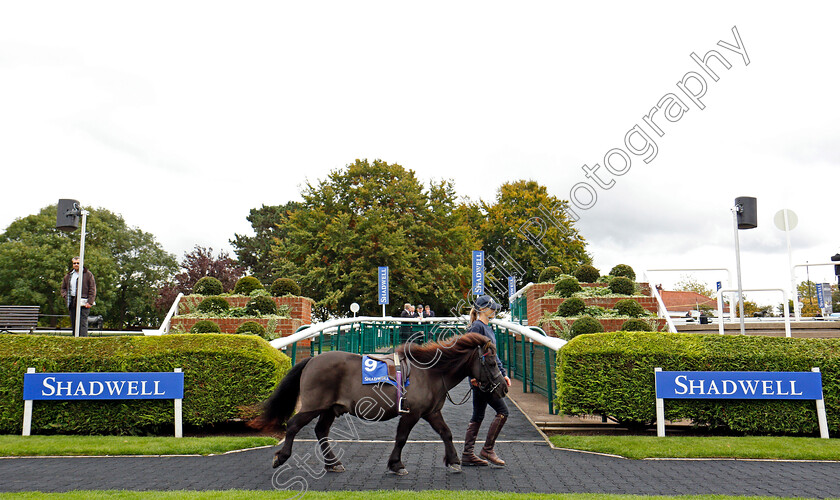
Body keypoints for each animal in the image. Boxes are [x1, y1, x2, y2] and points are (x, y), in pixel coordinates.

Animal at [251, 334, 506, 474]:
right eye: (492, 363)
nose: (503, 387)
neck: (429, 372)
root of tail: (312, 360)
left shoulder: (432, 412)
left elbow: (447, 433)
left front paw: (453, 461)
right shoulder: (412, 413)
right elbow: (401, 438)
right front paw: (396, 464)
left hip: (329, 409)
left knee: (321, 431)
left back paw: (333, 463)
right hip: (313, 406)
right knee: (294, 425)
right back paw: (281, 457)